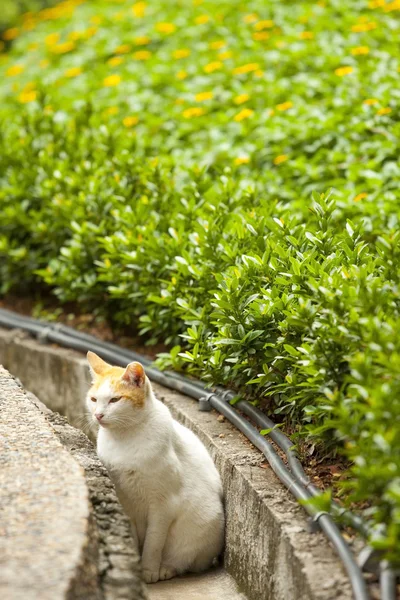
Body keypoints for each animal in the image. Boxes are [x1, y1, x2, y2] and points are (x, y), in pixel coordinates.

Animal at [85, 352, 225, 580]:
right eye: (94, 399)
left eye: (115, 399)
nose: (98, 415)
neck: (124, 438)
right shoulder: (125, 500)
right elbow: (132, 535)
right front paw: (133, 560)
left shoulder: (163, 505)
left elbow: (154, 542)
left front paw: (148, 570)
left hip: (201, 528)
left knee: (184, 561)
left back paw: (166, 569)